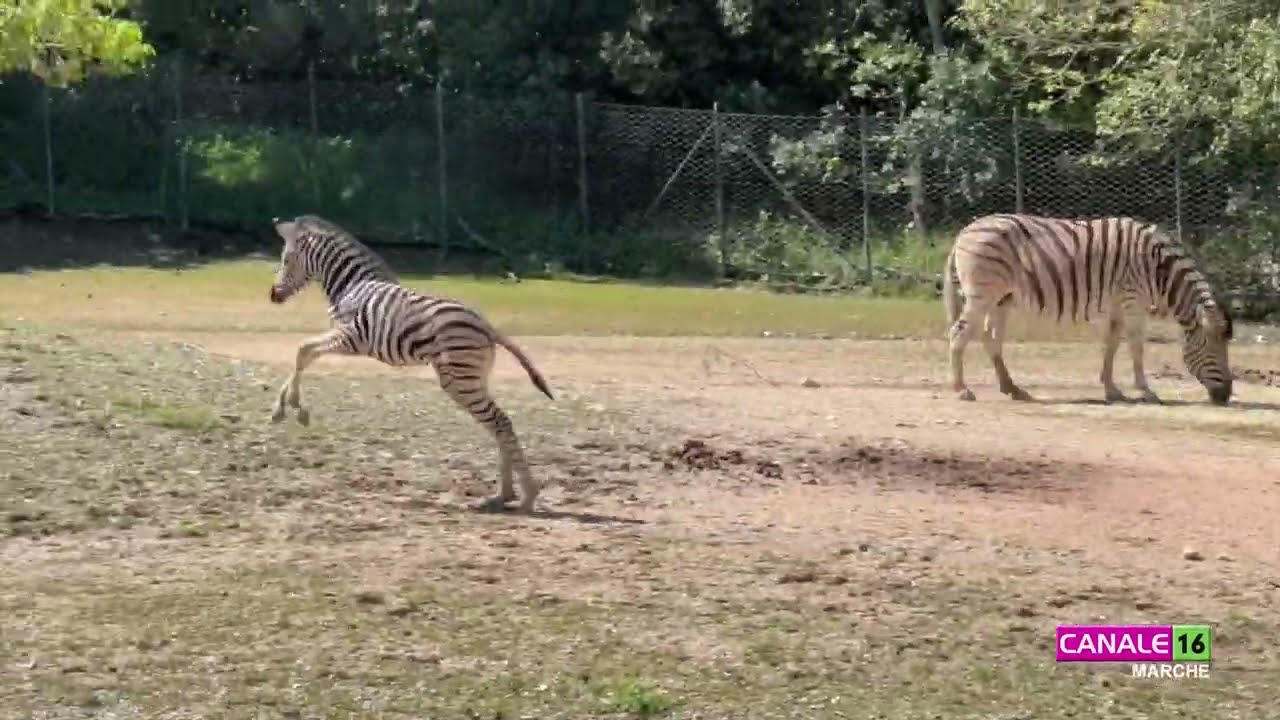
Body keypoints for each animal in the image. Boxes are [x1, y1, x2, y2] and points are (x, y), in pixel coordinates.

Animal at [266, 214, 555, 514]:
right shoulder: (345, 338)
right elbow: (305, 352)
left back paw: (526, 496)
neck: (351, 286)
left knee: (499, 421)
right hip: (473, 378)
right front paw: (282, 409)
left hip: (459, 380)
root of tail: (486, 325)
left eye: (286, 259)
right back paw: (504, 495)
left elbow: (303, 350)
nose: (273, 295)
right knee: (498, 422)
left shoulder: (351, 338)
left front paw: (295, 408)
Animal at [941, 213, 1233, 405]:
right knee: (958, 333)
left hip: (1001, 298)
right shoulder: (1133, 301)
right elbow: (1136, 346)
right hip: (982, 295)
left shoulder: (1118, 304)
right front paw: (1146, 391)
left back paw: (1012, 389)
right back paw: (961, 390)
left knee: (990, 339)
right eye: (1214, 349)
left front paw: (1112, 390)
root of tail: (963, 232)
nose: (1226, 397)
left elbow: (1112, 344)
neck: (1159, 269)